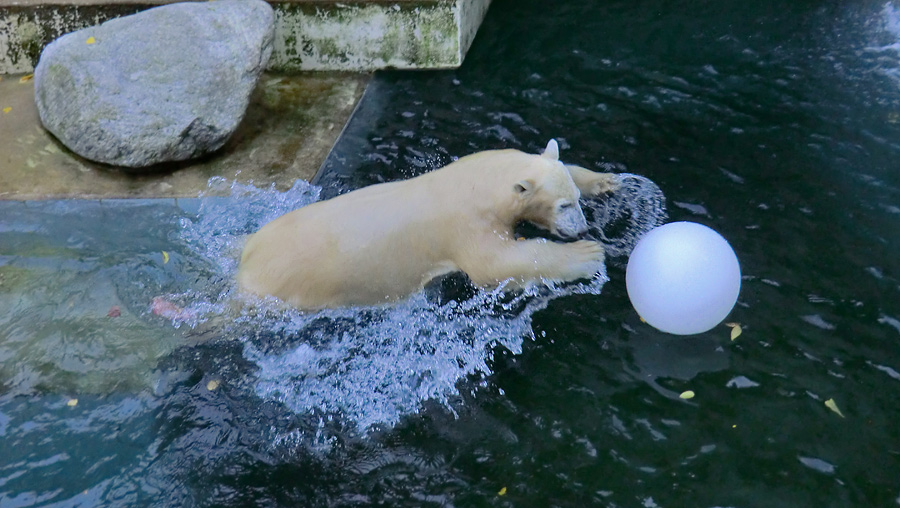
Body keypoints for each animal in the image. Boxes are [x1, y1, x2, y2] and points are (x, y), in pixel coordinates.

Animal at [239, 141, 620, 312]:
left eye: (574, 199)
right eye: (563, 206)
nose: (581, 229)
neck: (475, 184)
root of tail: (244, 267)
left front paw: (605, 179)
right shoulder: (466, 225)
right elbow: (496, 265)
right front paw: (588, 254)